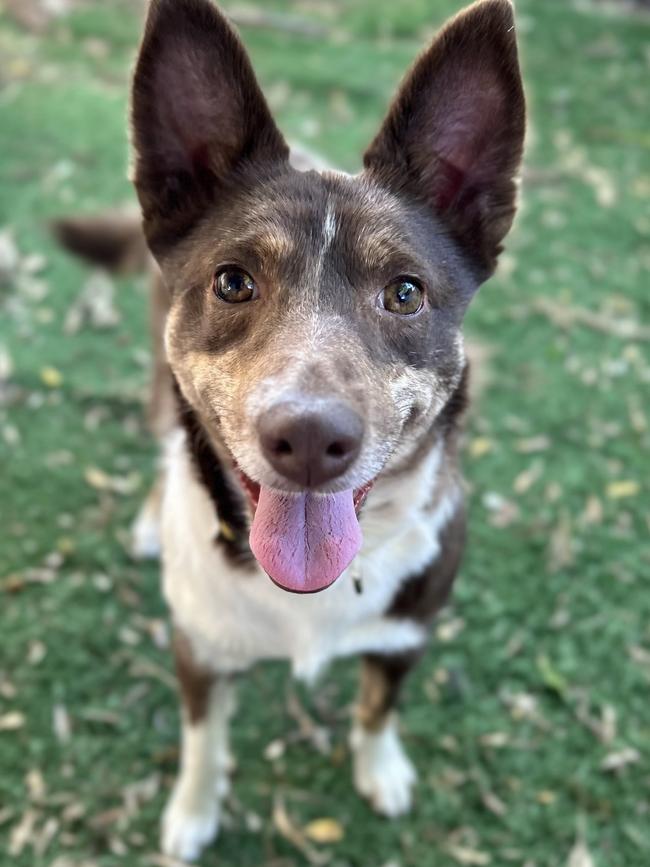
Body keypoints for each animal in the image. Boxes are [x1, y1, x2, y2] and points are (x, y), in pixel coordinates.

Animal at [55, 1, 524, 860]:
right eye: (234, 281)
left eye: (405, 292)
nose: (308, 439)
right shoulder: (199, 648)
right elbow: (204, 740)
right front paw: (194, 810)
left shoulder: (406, 634)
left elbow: (377, 707)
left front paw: (381, 767)